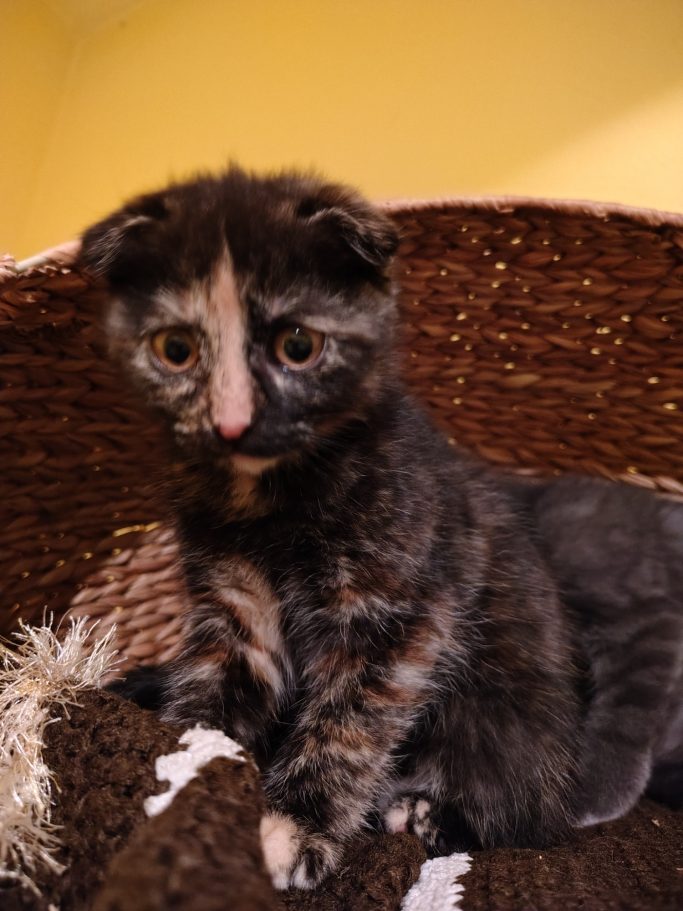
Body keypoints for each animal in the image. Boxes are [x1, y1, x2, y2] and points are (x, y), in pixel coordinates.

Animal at [81, 169, 683, 892]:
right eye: (176, 350)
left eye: (298, 347)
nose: (230, 423)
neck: (272, 497)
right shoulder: (232, 603)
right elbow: (210, 698)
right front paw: (187, 771)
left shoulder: (398, 612)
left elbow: (350, 722)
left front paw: (293, 829)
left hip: (502, 726)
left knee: (515, 816)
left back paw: (424, 814)